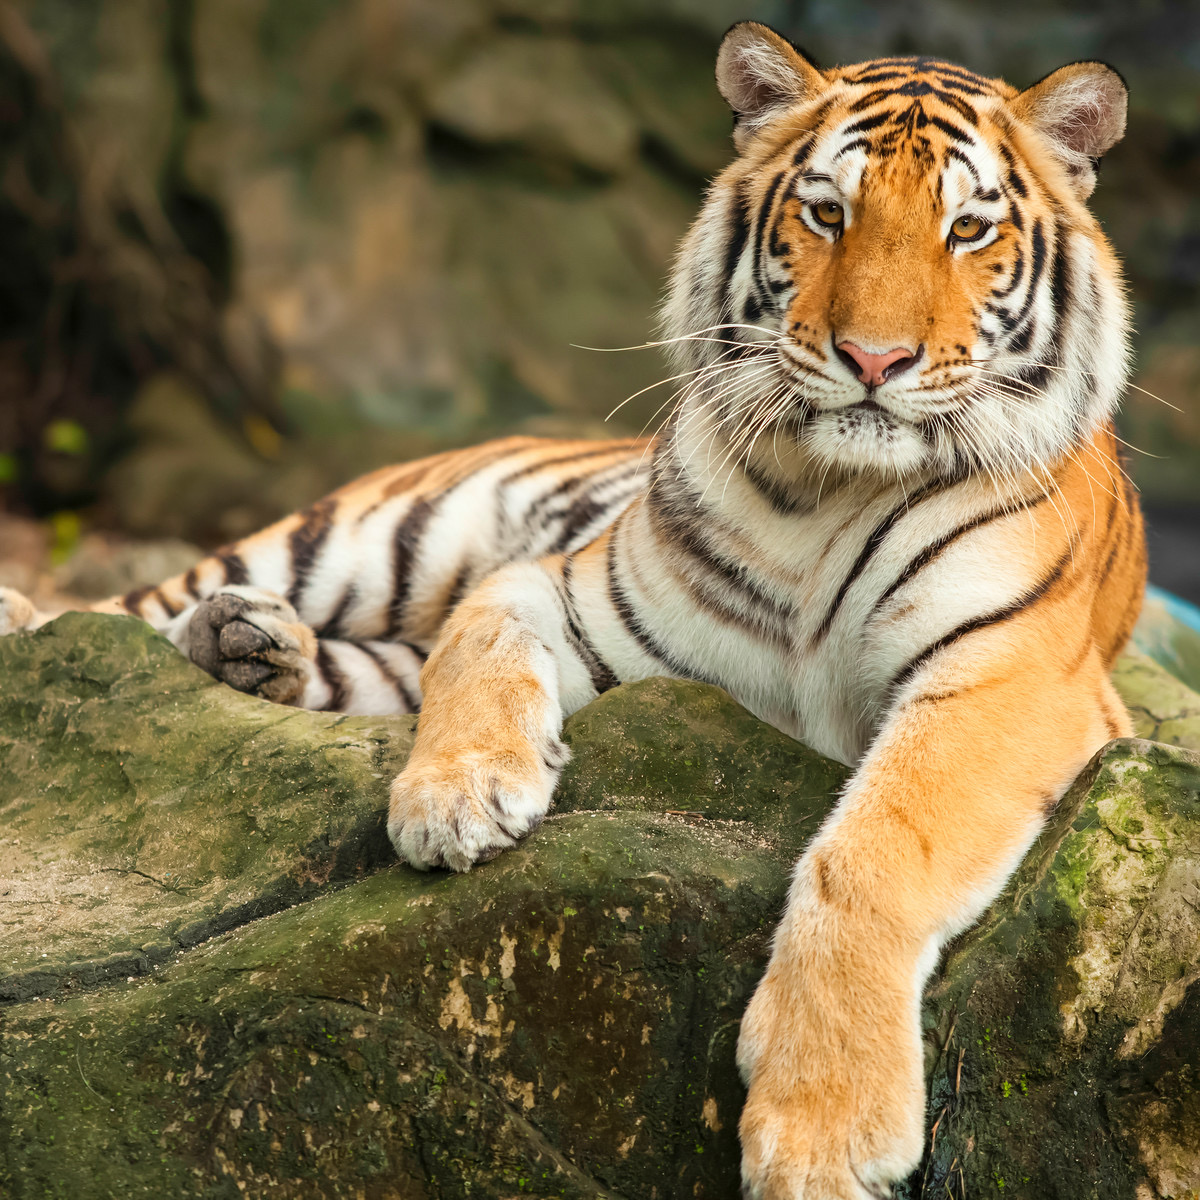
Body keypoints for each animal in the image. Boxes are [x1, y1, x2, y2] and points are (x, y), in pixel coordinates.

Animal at [0, 22, 1146, 1199]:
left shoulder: (1005, 679)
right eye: (829, 213)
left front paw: (823, 1130)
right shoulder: (573, 589)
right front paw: (455, 802)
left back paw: (250, 649)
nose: (874, 360)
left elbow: (872, 850)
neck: (829, 490)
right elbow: (476, 644)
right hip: (369, 533)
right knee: (125, 608)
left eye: (968, 230)